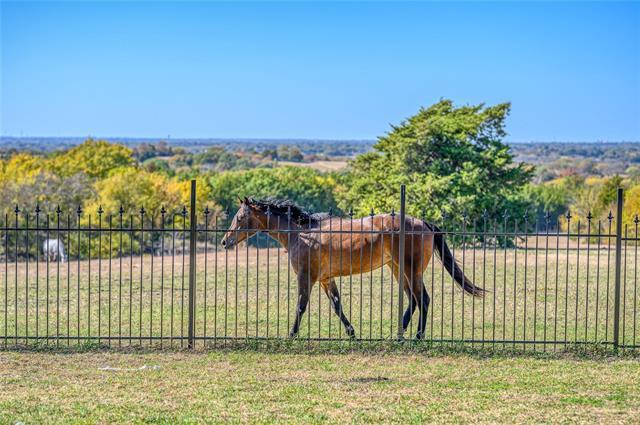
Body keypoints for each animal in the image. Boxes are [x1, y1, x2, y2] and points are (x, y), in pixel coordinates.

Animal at [221, 197, 484, 340]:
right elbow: (337, 306)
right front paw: (351, 332)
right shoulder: (326, 279)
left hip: (411, 270)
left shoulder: (306, 277)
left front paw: (291, 335)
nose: (225, 241)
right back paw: (398, 333)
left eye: (240, 217)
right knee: (413, 300)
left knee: (424, 300)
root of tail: (424, 223)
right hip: (398, 269)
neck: (302, 233)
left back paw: (417, 336)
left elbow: (300, 306)